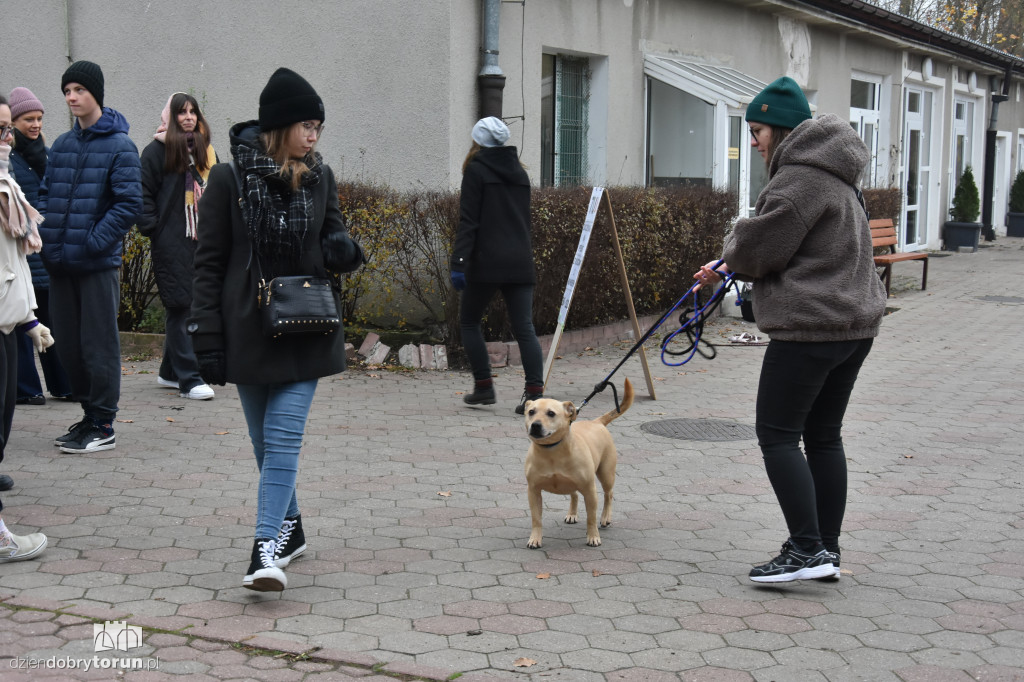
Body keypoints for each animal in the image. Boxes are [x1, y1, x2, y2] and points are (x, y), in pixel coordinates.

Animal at [528, 376, 630, 548]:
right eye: (531, 412)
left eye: (551, 413)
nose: (535, 425)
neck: (552, 451)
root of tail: (597, 422)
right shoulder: (533, 491)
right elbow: (536, 519)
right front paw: (535, 539)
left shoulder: (589, 490)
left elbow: (591, 518)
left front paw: (593, 537)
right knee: (574, 494)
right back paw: (572, 514)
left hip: (606, 473)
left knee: (608, 494)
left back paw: (605, 518)